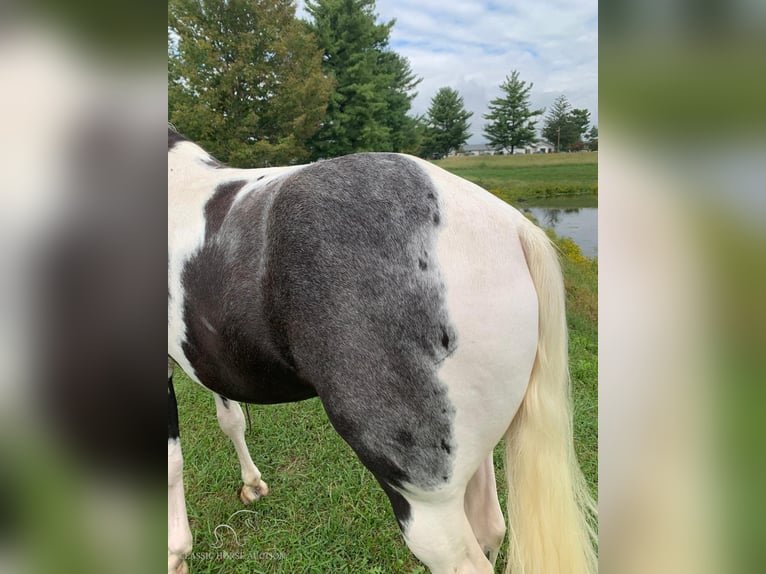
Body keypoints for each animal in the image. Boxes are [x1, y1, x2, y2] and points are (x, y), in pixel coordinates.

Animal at [168, 129, 600, 574]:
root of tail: (513, 228)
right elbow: (231, 418)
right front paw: (252, 484)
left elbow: (171, 462)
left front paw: (176, 553)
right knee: (491, 528)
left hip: (428, 504)